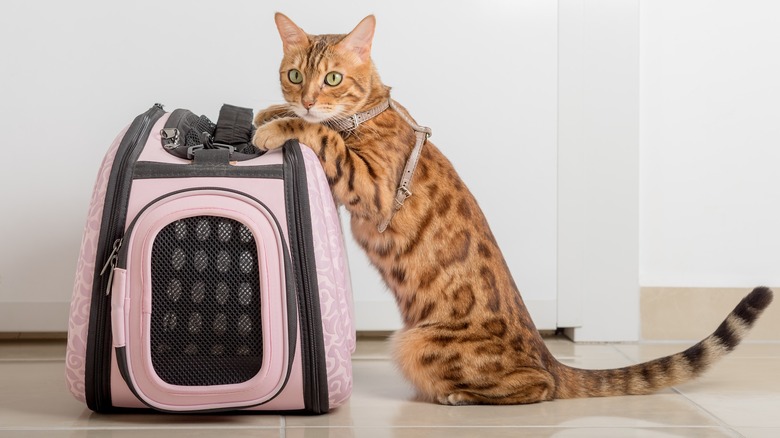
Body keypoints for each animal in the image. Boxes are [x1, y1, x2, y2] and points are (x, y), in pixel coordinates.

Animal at [251, 12, 772, 404]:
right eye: (295, 75)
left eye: (333, 78)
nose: (308, 98)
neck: (367, 111)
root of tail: (550, 356)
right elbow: (307, 122)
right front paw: (271, 111)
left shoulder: (373, 186)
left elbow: (323, 136)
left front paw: (280, 126)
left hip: (416, 343)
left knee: (538, 388)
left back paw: (460, 395)